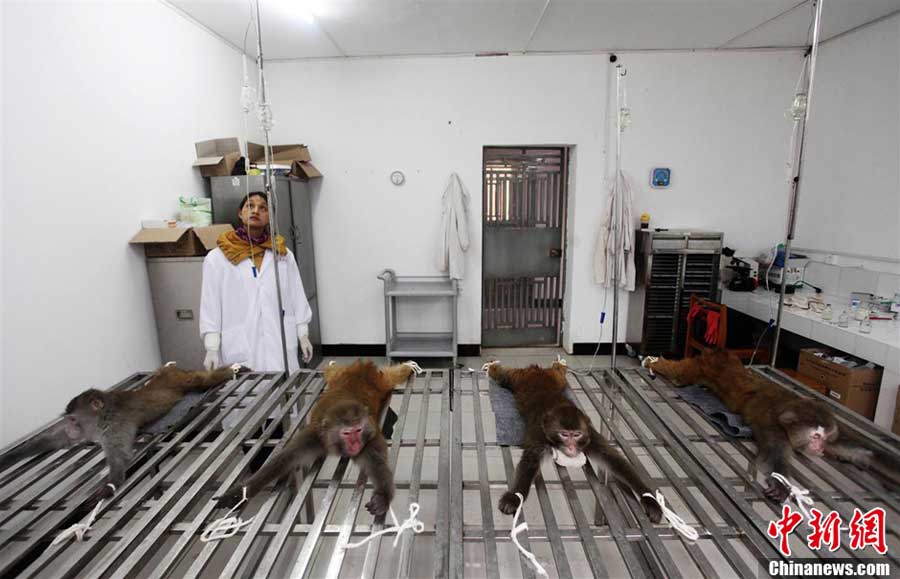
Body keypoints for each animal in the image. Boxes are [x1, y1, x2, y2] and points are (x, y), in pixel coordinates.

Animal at [0, 368, 243, 498]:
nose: (69, 427)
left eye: (73, 419)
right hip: (164, 374)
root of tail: (168, 372)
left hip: (179, 380)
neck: (102, 418)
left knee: (198, 380)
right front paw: (8, 458)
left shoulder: (115, 425)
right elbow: (53, 440)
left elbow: (120, 456)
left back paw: (227, 371)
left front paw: (109, 486)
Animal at [216, 358, 416, 516]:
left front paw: (382, 497)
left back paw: (406, 368)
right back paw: (332, 365)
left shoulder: (370, 437)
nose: (355, 445)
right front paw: (239, 494)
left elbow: (376, 464)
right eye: (347, 433)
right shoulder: (313, 437)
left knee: (391, 377)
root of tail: (361, 368)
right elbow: (285, 459)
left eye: (358, 430)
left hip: (379, 381)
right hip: (341, 377)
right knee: (332, 373)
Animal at [488, 360, 664, 524]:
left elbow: (613, 459)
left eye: (577, 434)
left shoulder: (590, 435)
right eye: (564, 434)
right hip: (521, 378)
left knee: (558, 375)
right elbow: (529, 461)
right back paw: (494, 369)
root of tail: (538, 371)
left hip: (555, 379)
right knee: (505, 377)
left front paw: (649, 499)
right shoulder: (539, 435)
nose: (571, 447)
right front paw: (514, 497)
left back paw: (559, 366)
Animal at [644, 348, 896, 502]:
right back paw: (655, 363)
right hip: (703, 367)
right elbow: (773, 456)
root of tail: (719, 353)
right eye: (815, 436)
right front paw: (781, 485)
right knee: (680, 373)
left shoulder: (836, 434)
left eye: (825, 437)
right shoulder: (772, 426)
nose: (819, 449)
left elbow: (866, 454)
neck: (789, 407)